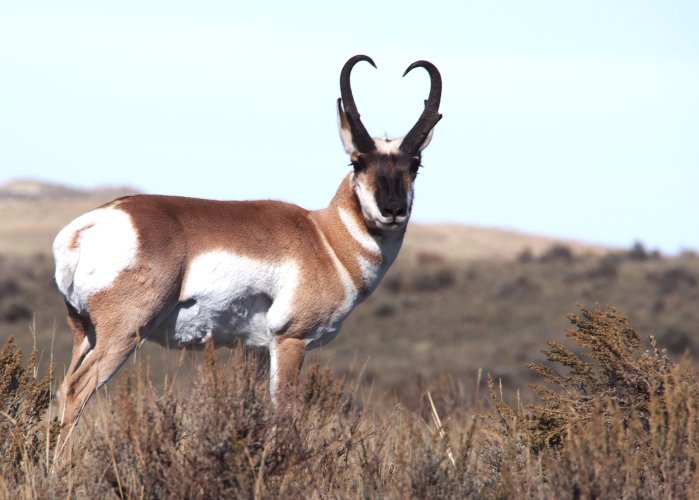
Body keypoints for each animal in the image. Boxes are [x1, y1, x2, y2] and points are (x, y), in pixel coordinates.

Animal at [53, 54, 442, 430]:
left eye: (416, 164)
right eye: (357, 161)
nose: (393, 210)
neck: (326, 239)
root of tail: (89, 225)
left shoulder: (256, 350)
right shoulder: (290, 340)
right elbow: (283, 415)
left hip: (85, 335)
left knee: (61, 390)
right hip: (123, 334)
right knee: (75, 390)